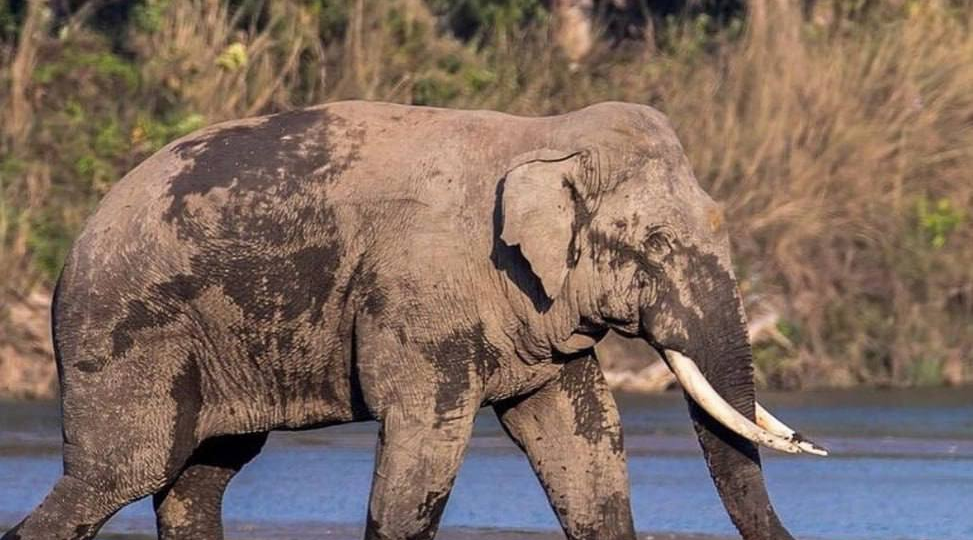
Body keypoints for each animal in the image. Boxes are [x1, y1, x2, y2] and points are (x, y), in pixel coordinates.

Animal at [2, 100, 825, 540]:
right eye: (651, 245)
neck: (543, 133)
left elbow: (581, 434)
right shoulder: (420, 293)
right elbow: (425, 439)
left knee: (200, 476)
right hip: (125, 334)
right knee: (127, 468)